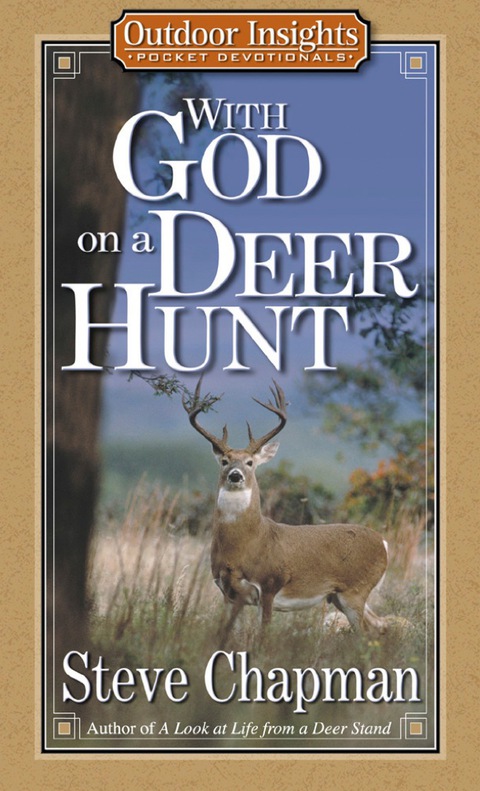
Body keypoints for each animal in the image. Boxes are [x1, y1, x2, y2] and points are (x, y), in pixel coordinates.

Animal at [183, 380, 389, 636]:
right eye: (224, 461)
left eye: (250, 462)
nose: (235, 475)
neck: (246, 543)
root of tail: (384, 543)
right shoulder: (227, 591)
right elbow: (231, 633)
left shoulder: (269, 585)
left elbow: (263, 634)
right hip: (338, 597)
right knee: (377, 627)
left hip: (355, 590)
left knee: (365, 632)